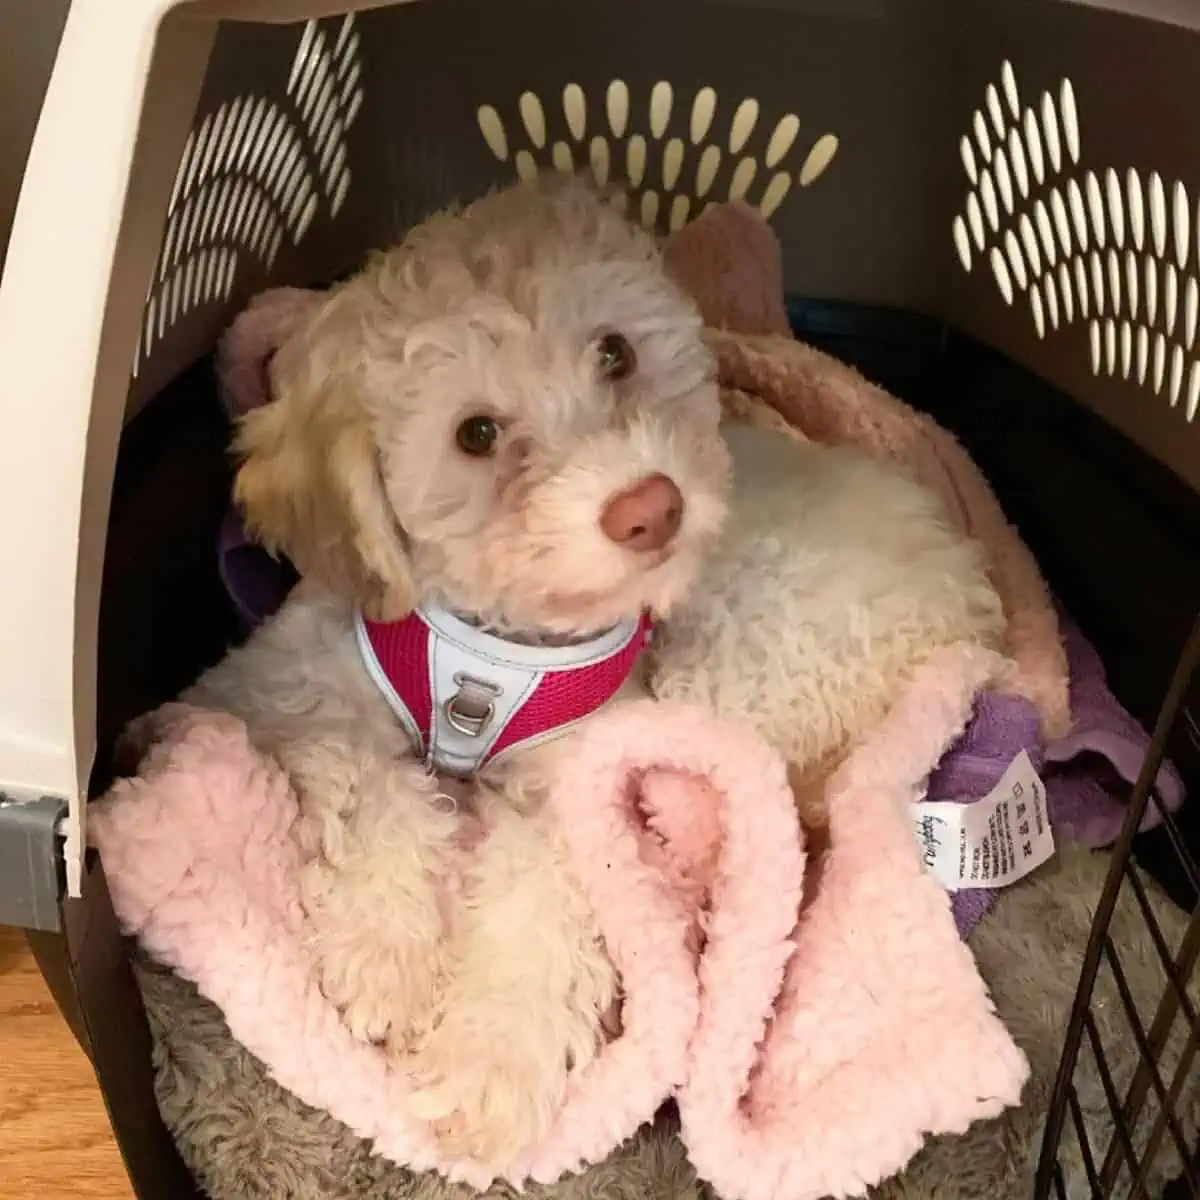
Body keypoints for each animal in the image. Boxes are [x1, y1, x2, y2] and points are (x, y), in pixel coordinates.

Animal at [177, 177, 729, 1171]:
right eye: (476, 434)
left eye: (616, 352)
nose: (650, 506)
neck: (495, 649)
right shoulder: (297, 685)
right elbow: (376, 790)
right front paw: (385, 961)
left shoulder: (582, 775)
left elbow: (542, 900)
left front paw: (489, 1064)